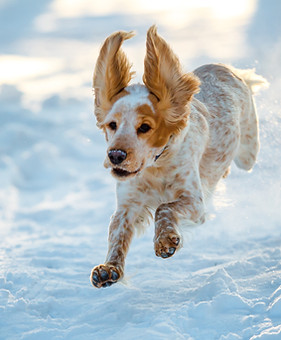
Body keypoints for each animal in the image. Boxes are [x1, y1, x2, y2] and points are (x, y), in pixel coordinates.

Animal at [90, 25, 266, 288]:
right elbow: (117, 234)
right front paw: (109, 269)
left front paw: (166, 241)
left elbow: (164, 207)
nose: (115, 155)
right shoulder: (128, 205)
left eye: (145, 127)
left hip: (248, 154)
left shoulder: (194, 202)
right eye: (112, 124)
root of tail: (224, 67)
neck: (156, 166)